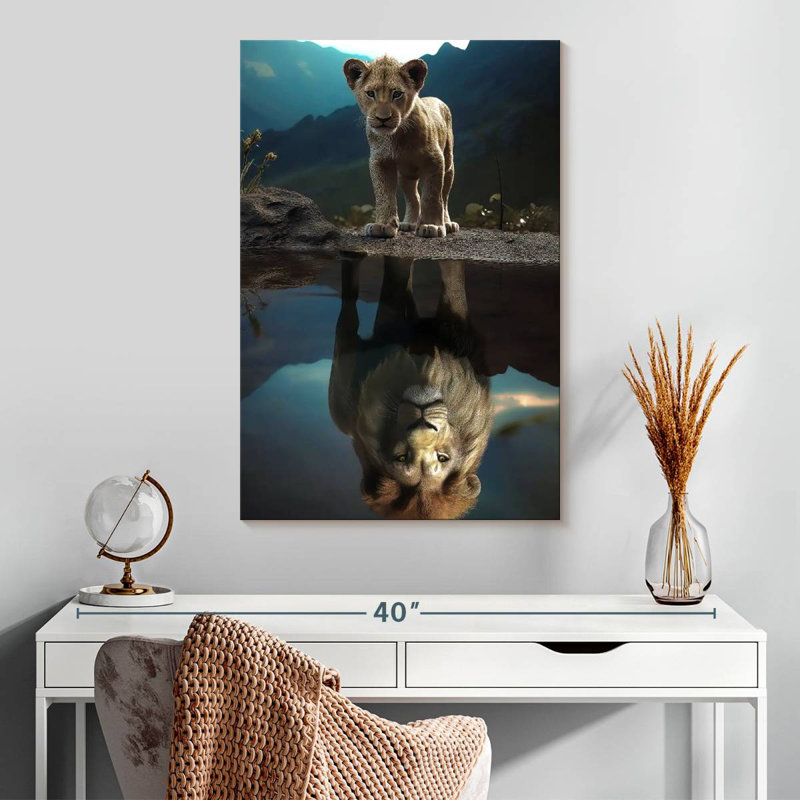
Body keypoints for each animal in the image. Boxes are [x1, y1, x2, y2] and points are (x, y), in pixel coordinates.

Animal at [328, 256, 493, 519]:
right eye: (402, 457)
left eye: (443, 457)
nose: (423, 425)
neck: (426, 372)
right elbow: (394, 284)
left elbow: (452, 282)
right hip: (342, 380)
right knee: (348, 307)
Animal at [343, 55, 459, 239]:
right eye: (370, 93)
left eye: (397, 94)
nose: (383, 118)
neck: (397, 137)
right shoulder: (380, 161)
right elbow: (384, 194)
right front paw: (382, 226)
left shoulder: (435, 159)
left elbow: (432, 195)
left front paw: (431, 226)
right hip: (406, 175)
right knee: (413, 197)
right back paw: (409, 223)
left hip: (448, 164)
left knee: (445, 195)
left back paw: (447, 223)